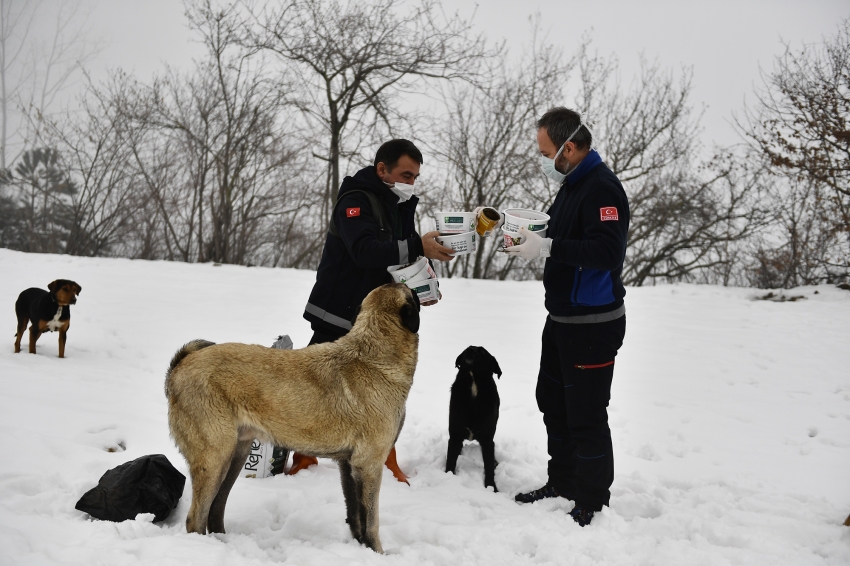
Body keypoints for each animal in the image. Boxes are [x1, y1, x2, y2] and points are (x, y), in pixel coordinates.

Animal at [162, 284, 418, 556]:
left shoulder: (349, 464)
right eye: (413, 293)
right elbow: (370, 520)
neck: (372, 354)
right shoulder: (369, 464)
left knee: (215, 509)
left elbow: (356, 515)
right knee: (196, 518)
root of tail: (181, 366)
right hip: (214, 456)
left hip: (236, 453)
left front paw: (362, 549)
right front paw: (377, 553)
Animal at [448, 346, 500, 492]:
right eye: (466, 349)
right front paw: (447, 478)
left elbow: (489, 467)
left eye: (482, 351)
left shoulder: (488, 441)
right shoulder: (454, 437)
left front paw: (491, 488)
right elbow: (450, 461)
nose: (470, 349)